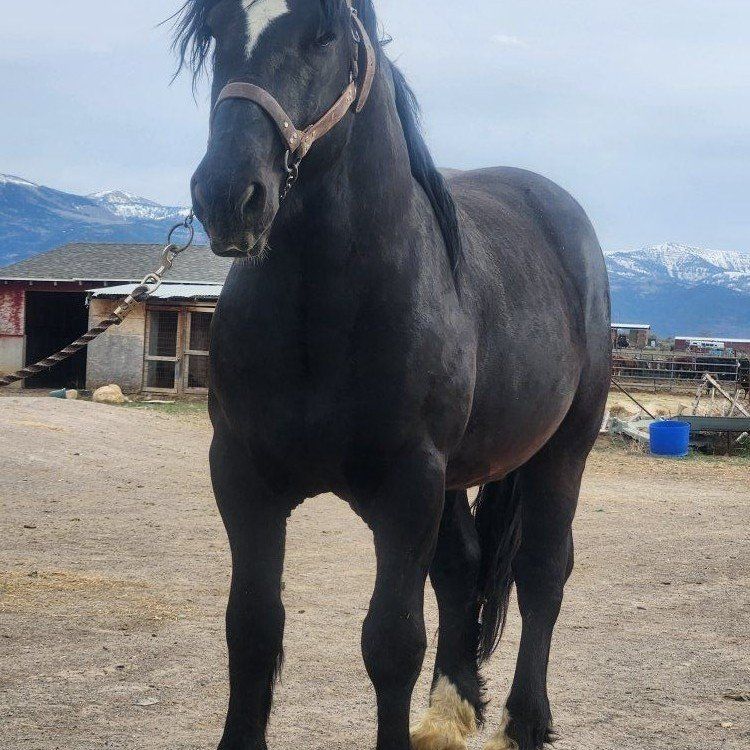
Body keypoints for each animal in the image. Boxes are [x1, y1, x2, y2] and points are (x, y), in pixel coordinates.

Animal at [175, 1, 611, 748]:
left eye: (323, 34)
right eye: (215, 34)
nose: (229, 194)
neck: (322, 310)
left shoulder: (408, 486)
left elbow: (391, 643)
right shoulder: (242, 478)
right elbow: (252, 631)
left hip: (563, 451)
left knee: (543, 573)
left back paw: (525, 720)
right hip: (460, 475)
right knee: (464, 568)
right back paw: (450, 711)